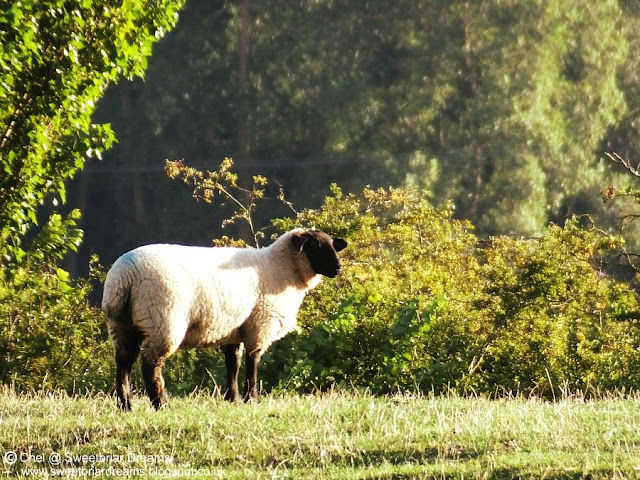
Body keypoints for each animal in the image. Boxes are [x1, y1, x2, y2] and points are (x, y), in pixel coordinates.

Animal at [102, 229, 348, 408]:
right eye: (314, 246)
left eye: (332, 245)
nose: (338, 268)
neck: (281, 269)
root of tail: (123, 275)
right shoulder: (260, 325)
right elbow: (252, 362)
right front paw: (252, 399)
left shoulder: (235, 328)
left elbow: (233, 363)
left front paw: (233, 398)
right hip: (163, 320)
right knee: (150, 365)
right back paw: (161, 404)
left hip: (122, 325)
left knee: (123, 361)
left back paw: (126, 405)